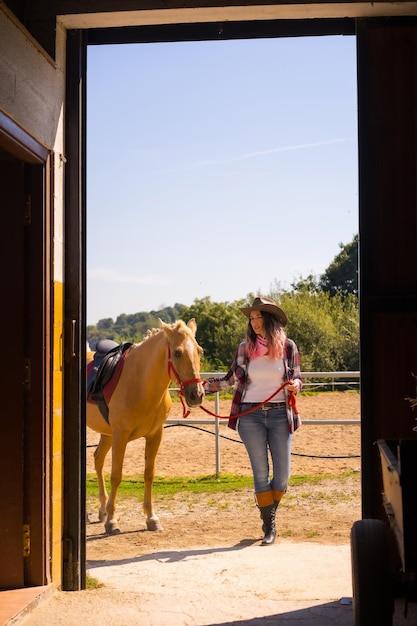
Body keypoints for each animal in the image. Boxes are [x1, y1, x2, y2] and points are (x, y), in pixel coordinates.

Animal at [87, 320, 204, 532]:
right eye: (177, 353)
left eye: (200, 351)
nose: (197, 395)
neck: (140, 382)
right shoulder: (120, 436)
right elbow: (116, 475)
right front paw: (112, 521)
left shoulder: (155, 435)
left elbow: (149, 474)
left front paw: (151, 518)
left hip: (106, 433)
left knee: (98, 459)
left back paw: (102, 509)